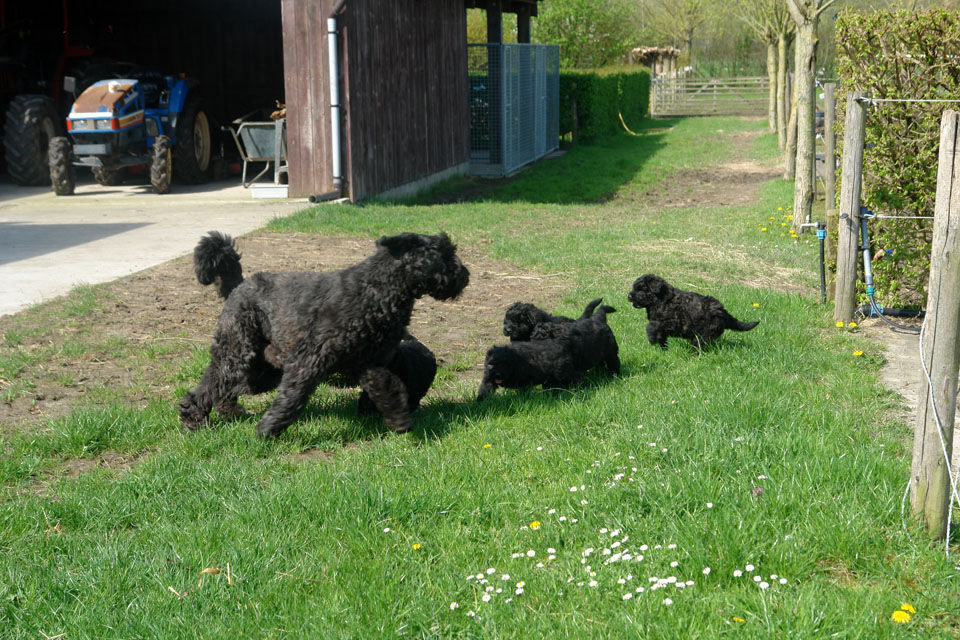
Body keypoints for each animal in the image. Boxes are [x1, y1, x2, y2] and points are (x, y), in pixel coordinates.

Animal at [180, 231, 468, 438]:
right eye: (445, 251)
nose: (465, 275)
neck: (378, 290)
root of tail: (239, 285)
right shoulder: (309, 360)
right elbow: (292, 398)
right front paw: (268, 429)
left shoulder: (373, 363)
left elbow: (390, 387)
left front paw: (399, 421)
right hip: (237, 352)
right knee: (212, 383)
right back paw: (192, 418)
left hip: (260, 370)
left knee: (223, 385)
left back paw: (226, 413)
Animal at [627, 274, 759, 349]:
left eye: (641, 289)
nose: (629, 296)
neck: (659, 299)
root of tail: (723, 312)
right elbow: (660, 335)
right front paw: (662, 348)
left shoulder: (669, 321)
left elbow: (651, 327)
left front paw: (652, 339)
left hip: (704, 333)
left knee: (699, 344)